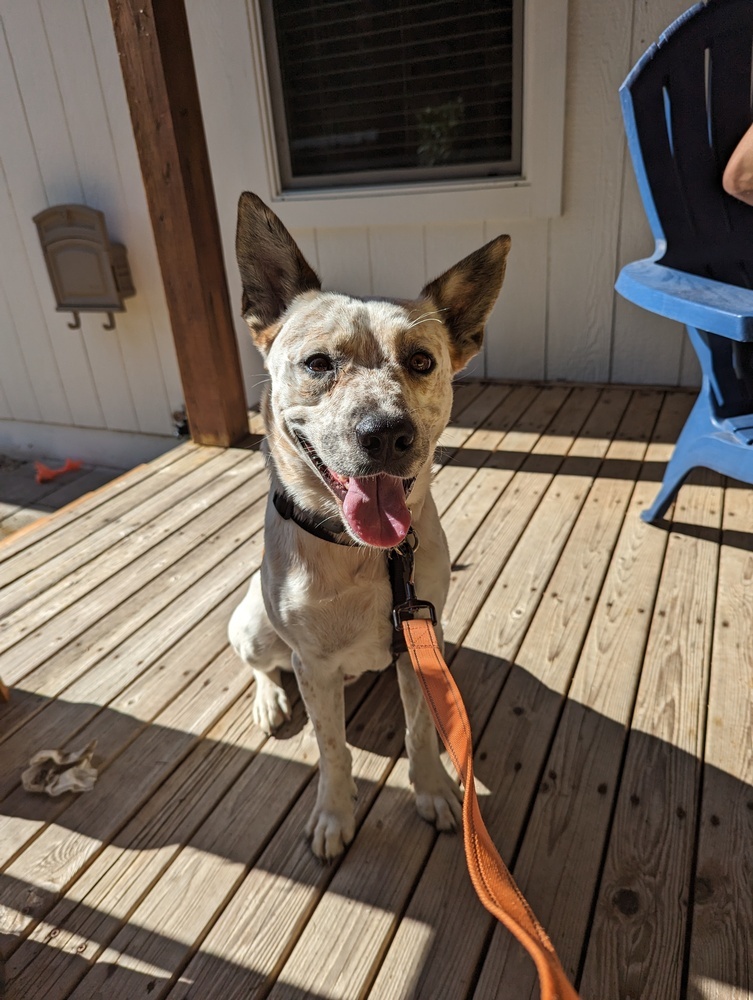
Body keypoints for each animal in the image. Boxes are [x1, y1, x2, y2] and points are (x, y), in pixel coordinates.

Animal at [228, 193, 512, 860]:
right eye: (317, 363)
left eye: (421, 361)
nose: (386, 434)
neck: (363, 556)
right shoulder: (312, 663)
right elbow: (331, 750)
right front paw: (334, 815)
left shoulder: (419, 643)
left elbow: (421, 731)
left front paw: (434, 792)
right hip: (252, 625)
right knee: (260, 665)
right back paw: (270, 701)